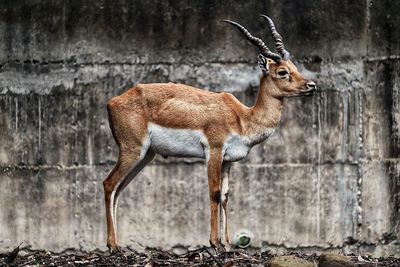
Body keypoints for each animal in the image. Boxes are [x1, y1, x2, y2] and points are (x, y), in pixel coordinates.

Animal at [104, 15, 318, 254]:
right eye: (282, 72)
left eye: (294, 67)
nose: (311, 85)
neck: (243, 118)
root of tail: (112, 102)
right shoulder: (213, 152)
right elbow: (214, 193)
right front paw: (215, 243)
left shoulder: (228, 161)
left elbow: (225, 197)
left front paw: (227, 244)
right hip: (132, 150)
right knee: (109, 184)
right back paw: (112, 246)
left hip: (146, 155)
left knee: (119, 190)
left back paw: (117, 245)